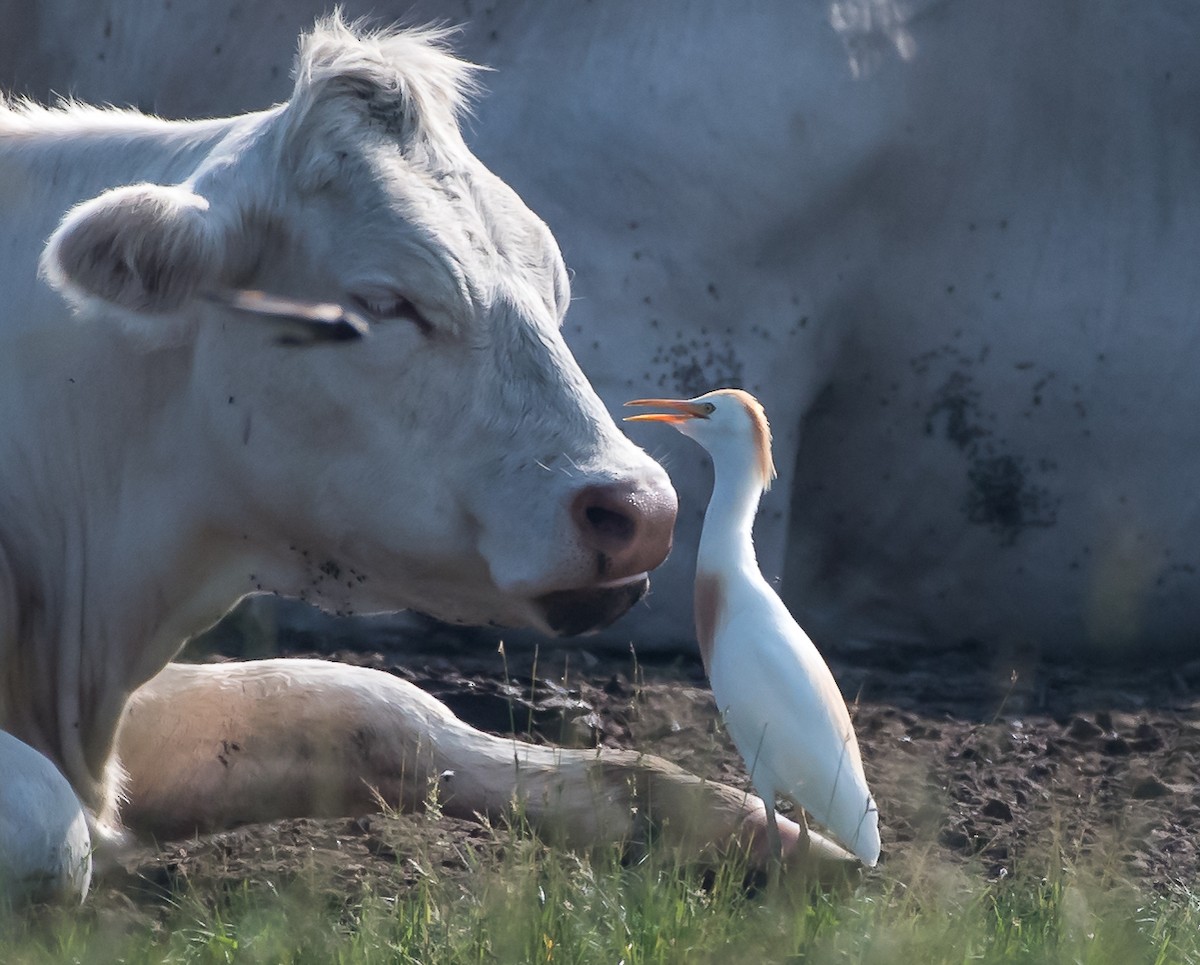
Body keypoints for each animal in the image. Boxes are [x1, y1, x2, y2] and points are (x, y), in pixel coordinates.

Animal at [1, 16, 864, 904]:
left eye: (553, 287)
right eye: (382, 303)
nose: (645, 511)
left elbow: (384, 706)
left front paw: (761, 833)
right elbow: (54, 826)